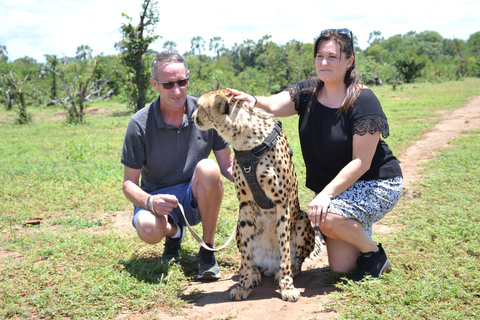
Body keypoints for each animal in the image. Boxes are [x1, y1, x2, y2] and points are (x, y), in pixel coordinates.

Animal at [191, 89, 318, 302]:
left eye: (200, 106)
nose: (192, 117)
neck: (245, 140)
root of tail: (268, 265)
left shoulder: (282, 204)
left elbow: (284, 250)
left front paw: (287, 286)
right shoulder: (245, 204)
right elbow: (245, 255)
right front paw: (243, 285)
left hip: (302, 217)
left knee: (296, 261)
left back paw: (283, 272)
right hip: (240, 228)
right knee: (251, 259)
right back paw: (255, 274)